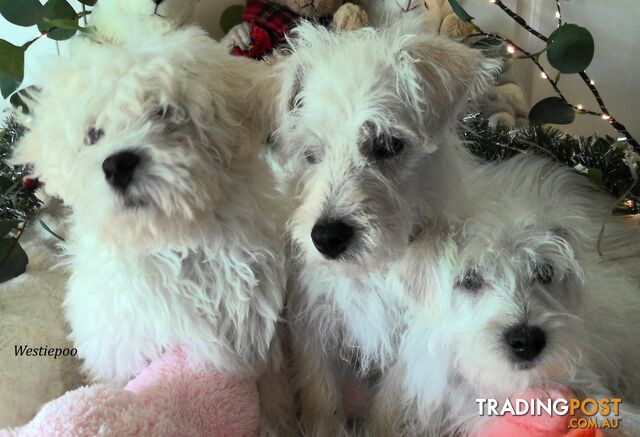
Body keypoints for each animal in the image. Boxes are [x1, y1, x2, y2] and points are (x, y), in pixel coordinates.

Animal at [11, 29, 296, 434]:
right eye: (93, 134)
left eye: (164, 113)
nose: (118, 164)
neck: (174, 243)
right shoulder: (127, 349)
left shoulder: (259, 330)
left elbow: (271, 393)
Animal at [268, 23, 502, 432]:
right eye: (312, 154)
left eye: (387, 145)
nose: (326, 238)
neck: (373, 270)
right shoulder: (312, 323)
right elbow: (321, 395)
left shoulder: (413, 340)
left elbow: (390, 405)